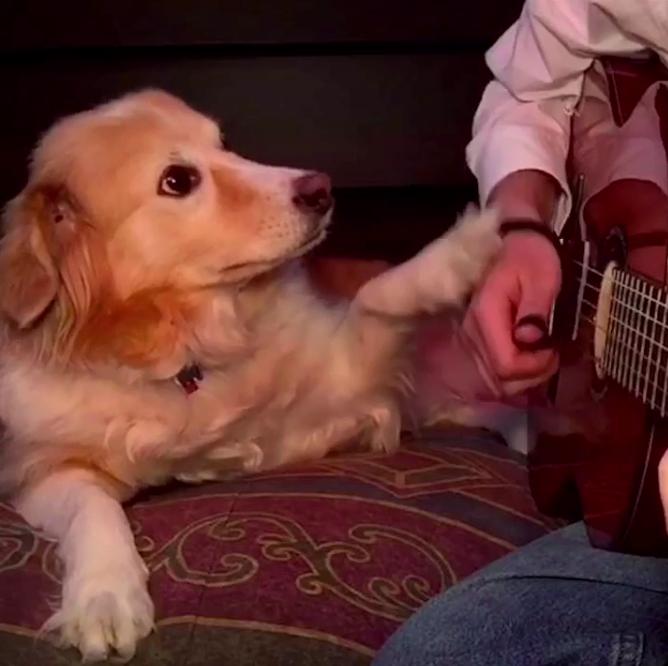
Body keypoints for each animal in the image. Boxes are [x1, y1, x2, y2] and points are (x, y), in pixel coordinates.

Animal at [0, 89, 500, 660]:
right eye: (178, 180)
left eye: (225, 144)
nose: (320, 187)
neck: (190, 351)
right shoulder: (41, 471)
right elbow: (94, 509)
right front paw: (103, 596)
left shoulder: (346, 388)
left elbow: (377, 294)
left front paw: (461, 250)